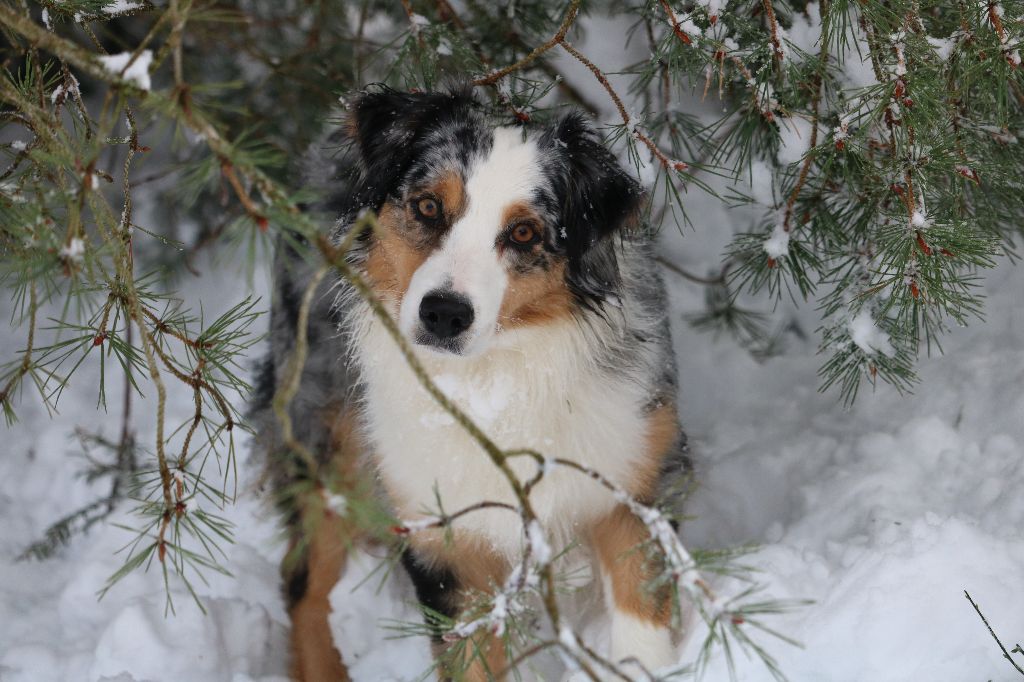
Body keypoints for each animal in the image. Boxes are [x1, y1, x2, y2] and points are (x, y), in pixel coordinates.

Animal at [252, 87, 692, 675]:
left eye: (524, 232)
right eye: (428, 207)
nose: (444, 314)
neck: (494, 385)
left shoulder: (635, 480)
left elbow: (640, 626)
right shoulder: (445, 535)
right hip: (321, 427)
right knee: (304, 580)